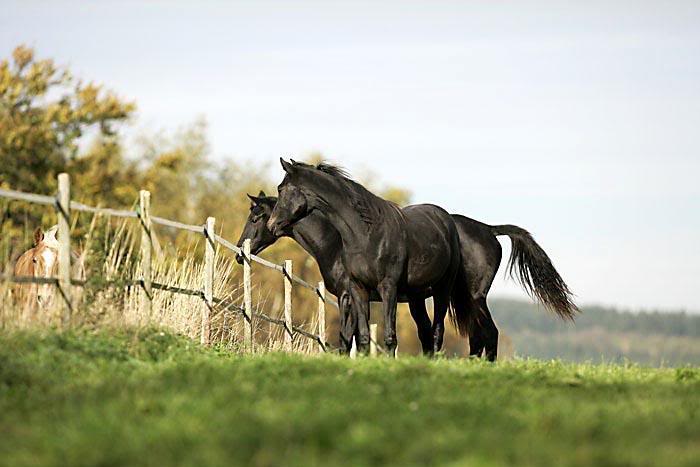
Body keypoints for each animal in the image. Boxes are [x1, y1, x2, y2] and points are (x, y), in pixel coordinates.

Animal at [266, 159, 462, 356]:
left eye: (280, 189)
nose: (271, 225)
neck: (365, 235)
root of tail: (447, 221)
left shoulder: (387, 288)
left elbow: (389, 336)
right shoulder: (358, 288)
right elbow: (362, 337)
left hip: (442, 289)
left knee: (437, 332)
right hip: (416, 296)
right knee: (425, 332)